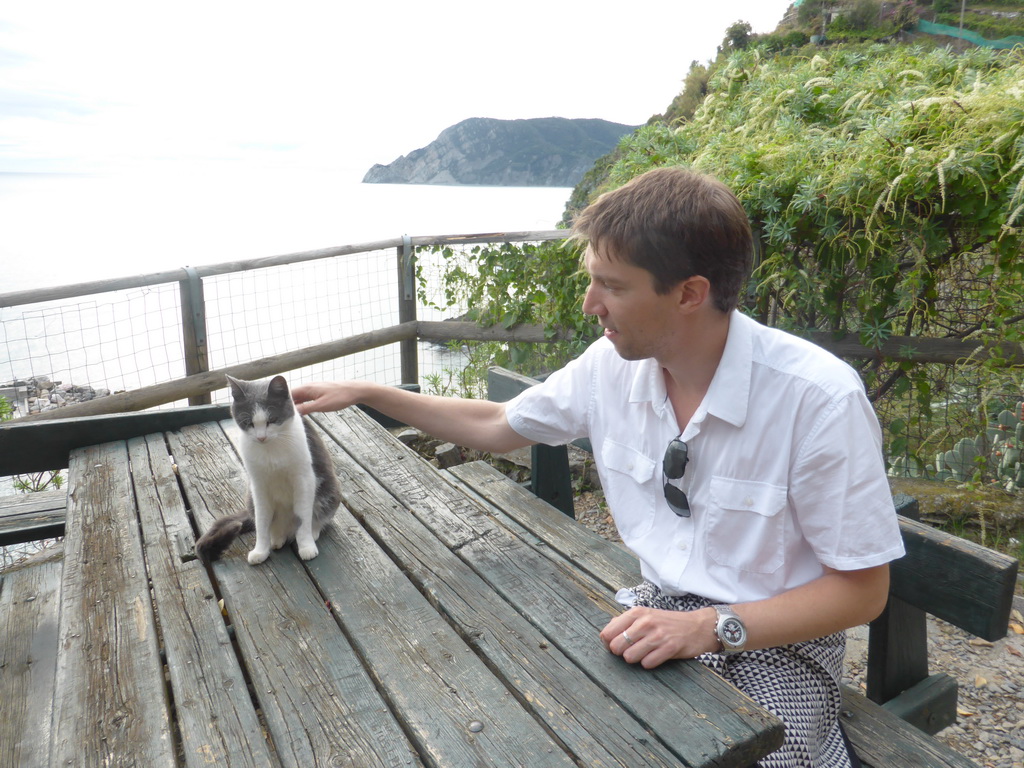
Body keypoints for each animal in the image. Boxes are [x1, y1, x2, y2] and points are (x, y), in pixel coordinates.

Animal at [195, 374, 344, 565]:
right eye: (248, 423)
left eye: (272, 420)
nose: (261, 437)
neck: (271, 450)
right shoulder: (258, 485)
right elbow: (261, 522)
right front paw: (260, 550)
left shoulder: (304, 479)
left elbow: (303, 517)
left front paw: (306, 546)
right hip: (250, 498)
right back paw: (277, 539)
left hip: (330, 490)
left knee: (318, 517)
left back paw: (313, 532)